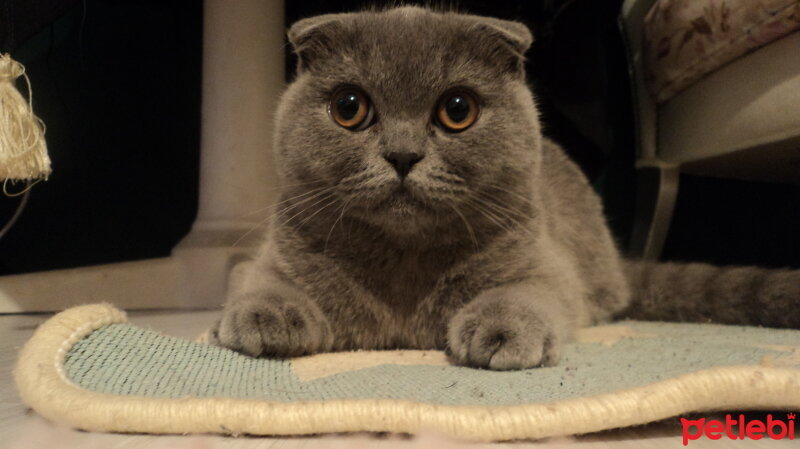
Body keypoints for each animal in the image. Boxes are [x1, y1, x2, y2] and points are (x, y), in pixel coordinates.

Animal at [211, 7, 800, 370]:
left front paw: (500, 330)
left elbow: (525, 292)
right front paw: (261, 315)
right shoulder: (270, 254)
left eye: (457, 110)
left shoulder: (548, 268)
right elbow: (257, 281)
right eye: (349, 107)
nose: (402, 155)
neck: (403, 268)